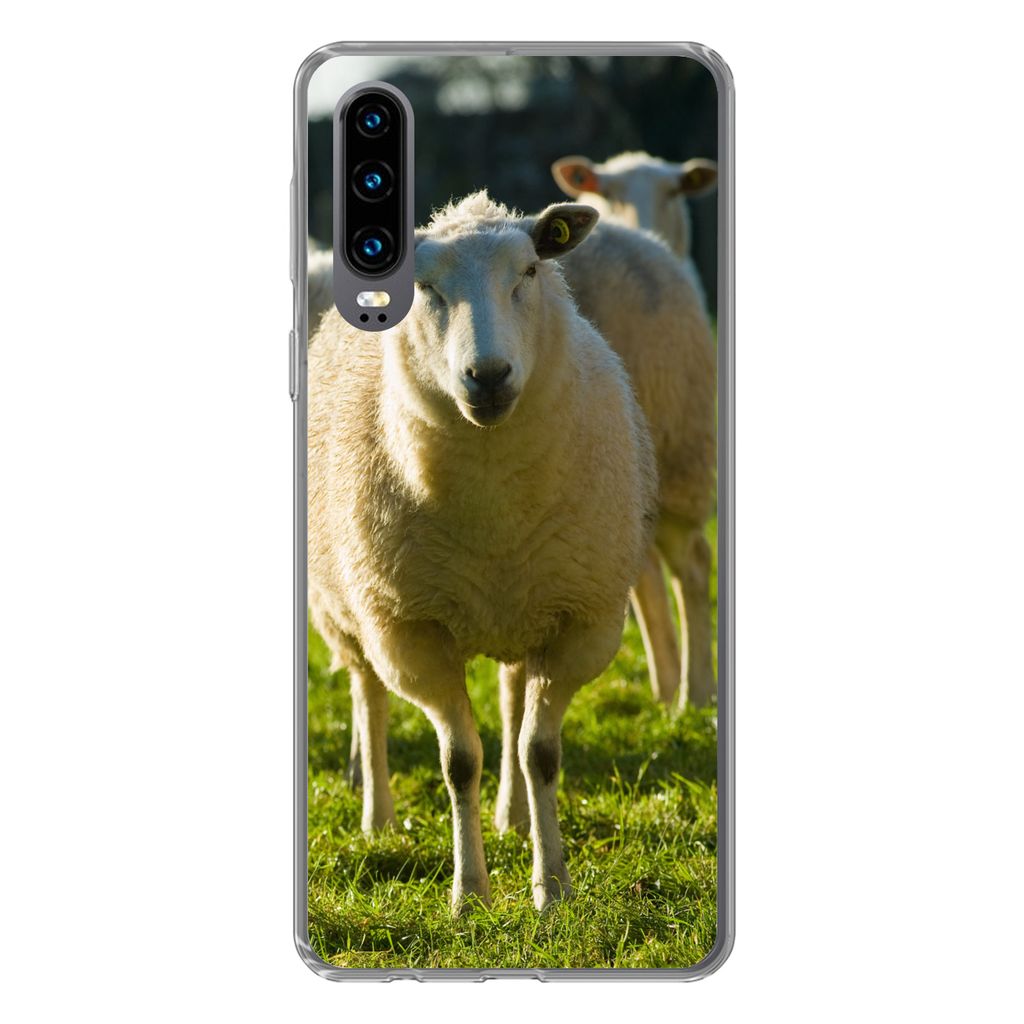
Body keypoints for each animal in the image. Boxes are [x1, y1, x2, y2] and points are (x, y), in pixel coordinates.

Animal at [308, 192, 658, 911]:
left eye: (528, 271)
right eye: (425, 288)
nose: (489, 377)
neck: (494, 503)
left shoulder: (580, 621)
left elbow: (539, 753)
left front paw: (552, 888)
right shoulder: (411, 632)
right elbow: (457, 760)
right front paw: (470, 892)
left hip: (525, 606)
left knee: (512, 699)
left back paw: (513, 816)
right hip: (351, 608)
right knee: (368, 696)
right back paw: (378, 817)